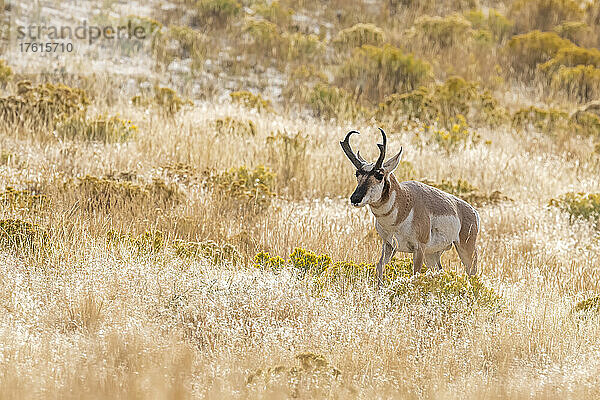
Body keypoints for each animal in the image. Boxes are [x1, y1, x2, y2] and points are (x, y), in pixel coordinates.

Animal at [340, 129, 480, 284]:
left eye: (379, 175)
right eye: (357, 173)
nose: (355, 198)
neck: (404, 203)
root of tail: (471, 210)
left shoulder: (419, 248)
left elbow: (415, 273)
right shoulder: (389, 245)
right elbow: (379, 266)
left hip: (465, 249)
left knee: (472, 272)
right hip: (432, 255)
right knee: (440, 271)